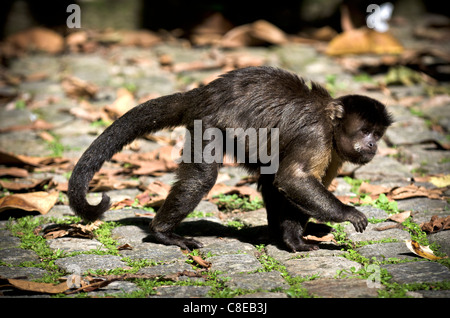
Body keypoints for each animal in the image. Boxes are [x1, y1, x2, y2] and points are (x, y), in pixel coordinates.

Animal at [67, 66, 394, 251]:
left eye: (377, 134)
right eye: (365, 130)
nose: (372, 145)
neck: (329, 122)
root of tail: (205, 92)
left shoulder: (334, 151)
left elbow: (286, 183)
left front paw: (294, 239)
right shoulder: (316, 137)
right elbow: (293, 179)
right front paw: (344, 215)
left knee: (267, 177)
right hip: (209, 124)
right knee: (204, 177)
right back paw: (162, 233)